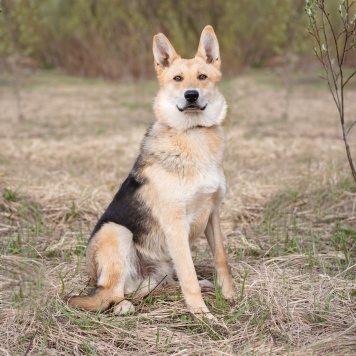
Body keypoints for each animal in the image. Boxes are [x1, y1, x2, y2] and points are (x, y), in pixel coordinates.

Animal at [68, 25, 235, 320]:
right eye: (177, 78)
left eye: (202, 77)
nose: (191, 94)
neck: (192, 134)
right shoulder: (176, 224)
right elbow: (188, 274)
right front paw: (202, 316)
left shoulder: (212, 213)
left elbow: (220, 258)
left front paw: (227, 294)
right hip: (116, 232)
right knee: (108, 294)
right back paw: (123, 305)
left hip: (159, 270)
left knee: (153, 286)